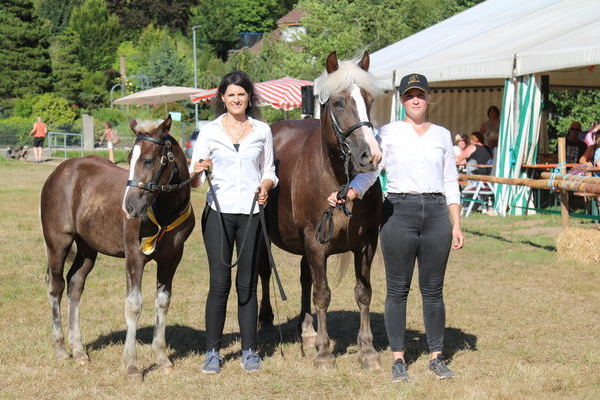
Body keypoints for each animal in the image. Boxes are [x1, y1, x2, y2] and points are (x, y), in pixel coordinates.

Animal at [40, 116, 195, 378]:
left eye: (148, 160)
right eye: (130, 157)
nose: (129, 206)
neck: (164, 211)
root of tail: (60, 170)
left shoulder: (172, 258)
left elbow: (162, 302)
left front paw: (162, 358)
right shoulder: (134, 257)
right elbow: (133, 305)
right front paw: (131, 366)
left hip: (87, 249)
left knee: (75, 284)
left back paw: (79, 351)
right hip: (58, 242)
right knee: (56, 285)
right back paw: (61, 349)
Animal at [258, 52, 382, 368]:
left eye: (369, 99)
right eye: (338, 103)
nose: (371, 156)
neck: (336, 179)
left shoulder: (366, 244)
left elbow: (363, 293)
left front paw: (367, 349)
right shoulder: (316, 244)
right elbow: (323, 294)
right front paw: (325, 353)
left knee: (305, 278)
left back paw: (306, 328)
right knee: (264, 271)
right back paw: (266, 320)